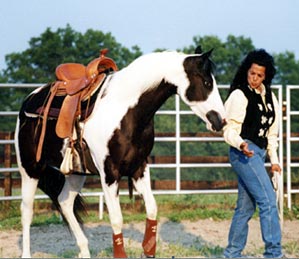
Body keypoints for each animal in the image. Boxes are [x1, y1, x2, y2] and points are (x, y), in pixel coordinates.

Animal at [14, 47, 225, 258]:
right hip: (30, 168)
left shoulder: (139, 168)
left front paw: (149, 249)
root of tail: (29, 100)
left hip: (76, 172)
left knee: (64, 202)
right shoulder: (110, 173)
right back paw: (26, 253)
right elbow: (116, 219)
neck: (124, 110)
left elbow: (152, 208)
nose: (221, 121)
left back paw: (84, 251)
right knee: (26, 211)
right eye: (207, 83)